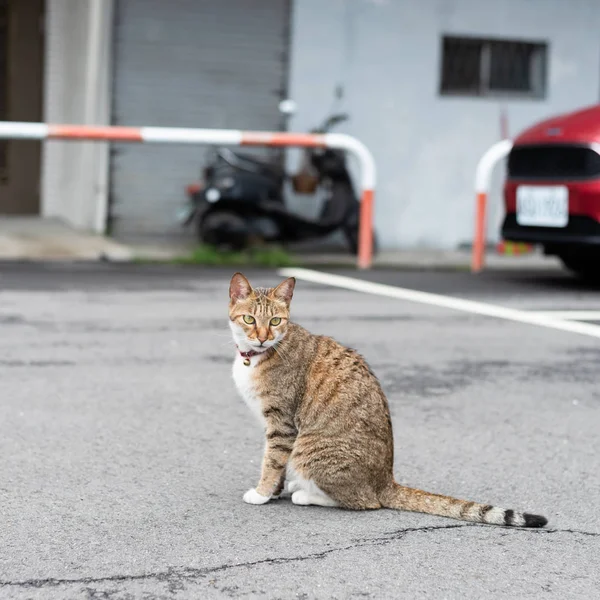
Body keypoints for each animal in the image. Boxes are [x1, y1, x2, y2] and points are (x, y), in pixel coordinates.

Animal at [229, 274, 548, 528]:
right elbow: (276, 462)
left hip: (309, 448)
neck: (256, 356)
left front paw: (261, 493)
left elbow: (272, 461)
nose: (261, 338)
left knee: (364, 501)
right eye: (249, 319)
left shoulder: (282, 422)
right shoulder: (275, 425)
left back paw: (305, 494)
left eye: (275, 321)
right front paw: (272, 492)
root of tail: (385, 481)